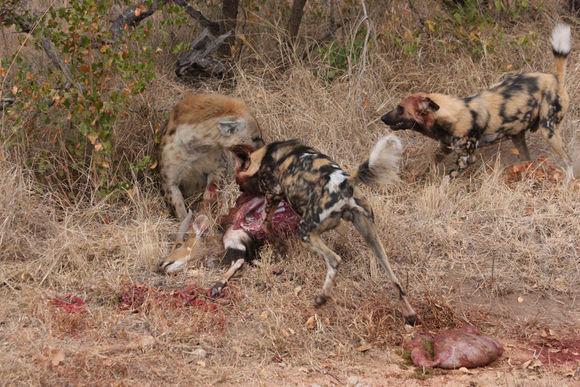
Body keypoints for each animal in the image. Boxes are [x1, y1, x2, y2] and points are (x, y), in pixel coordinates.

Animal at [236, 136, 416, 324]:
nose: (239, 192)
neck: (265, 154)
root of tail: (346, 183)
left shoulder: (273, 196)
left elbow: (266, 223)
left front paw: (278, 246)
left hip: (305, 232)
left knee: (334, 260)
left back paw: (321, 298)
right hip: (373, 239)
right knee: (395, 280)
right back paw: (410, 314)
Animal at [380, 22, 572, 177]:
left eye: (400, 109)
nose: (382, 118)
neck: (450, 116)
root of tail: (555, 78)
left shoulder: (466, 158)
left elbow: (447, 178)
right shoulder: (444, 148)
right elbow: (431, 165)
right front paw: (422, 180)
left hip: (549, 131)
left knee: (568, 161)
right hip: (518, 136)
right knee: (528, 159)